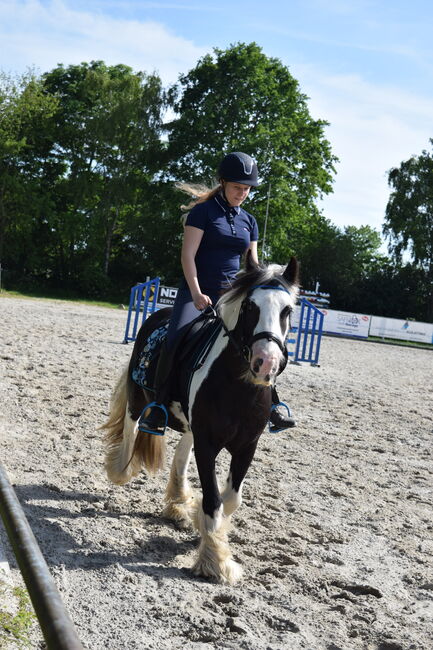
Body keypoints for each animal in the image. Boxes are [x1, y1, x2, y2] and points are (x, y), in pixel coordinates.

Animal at [102, 254, 296, 584]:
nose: (265, 363)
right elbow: (214, 499)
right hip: (138, 400)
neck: (238, 386)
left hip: (191, 426)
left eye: (288, 310)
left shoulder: (247, 446)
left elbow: (230, 499)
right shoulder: (208, 444)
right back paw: (120, 471)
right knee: (130, 432)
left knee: (181, 456)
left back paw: (179, 504)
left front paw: (205, 532)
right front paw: (215, 562)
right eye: (250, 306)